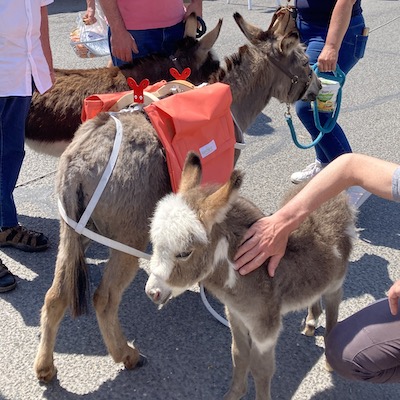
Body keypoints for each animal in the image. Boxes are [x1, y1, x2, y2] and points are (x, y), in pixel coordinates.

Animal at [146, 152, 356, 400]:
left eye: (184, 253)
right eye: (155, 243)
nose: (151, 292)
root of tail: (339, 199)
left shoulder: (264, 329)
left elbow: (261, 369)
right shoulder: (236, 316)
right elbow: (238, 356)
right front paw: (233, 394)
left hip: (336, 283)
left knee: (333, 314)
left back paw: (330, 359)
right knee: (315, 295)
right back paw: (312, 321)